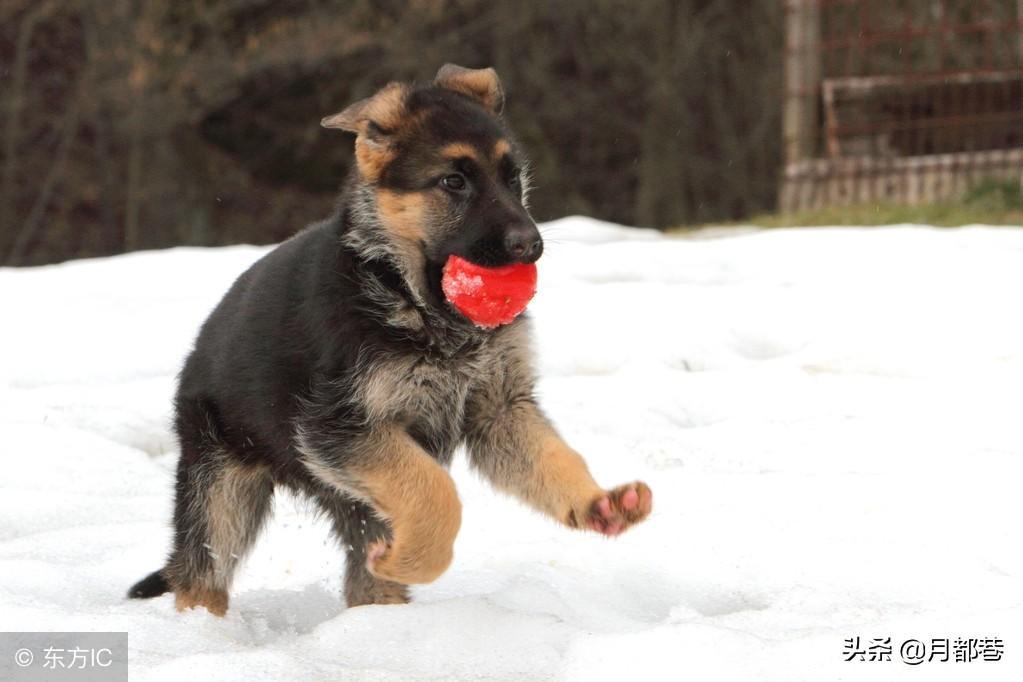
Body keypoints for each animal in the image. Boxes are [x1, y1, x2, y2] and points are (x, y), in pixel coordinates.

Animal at [127, 63, 650, 617]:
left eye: (512, 178)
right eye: (453, 182)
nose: (531, 246)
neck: (412, 296)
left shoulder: (499, 409)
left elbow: (553, 456)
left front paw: (599, 503)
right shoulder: (340, 428)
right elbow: (438, 491)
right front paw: (413, 559)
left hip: (358, 497)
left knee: (362, 571)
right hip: (223, 486)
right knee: (200, 571)